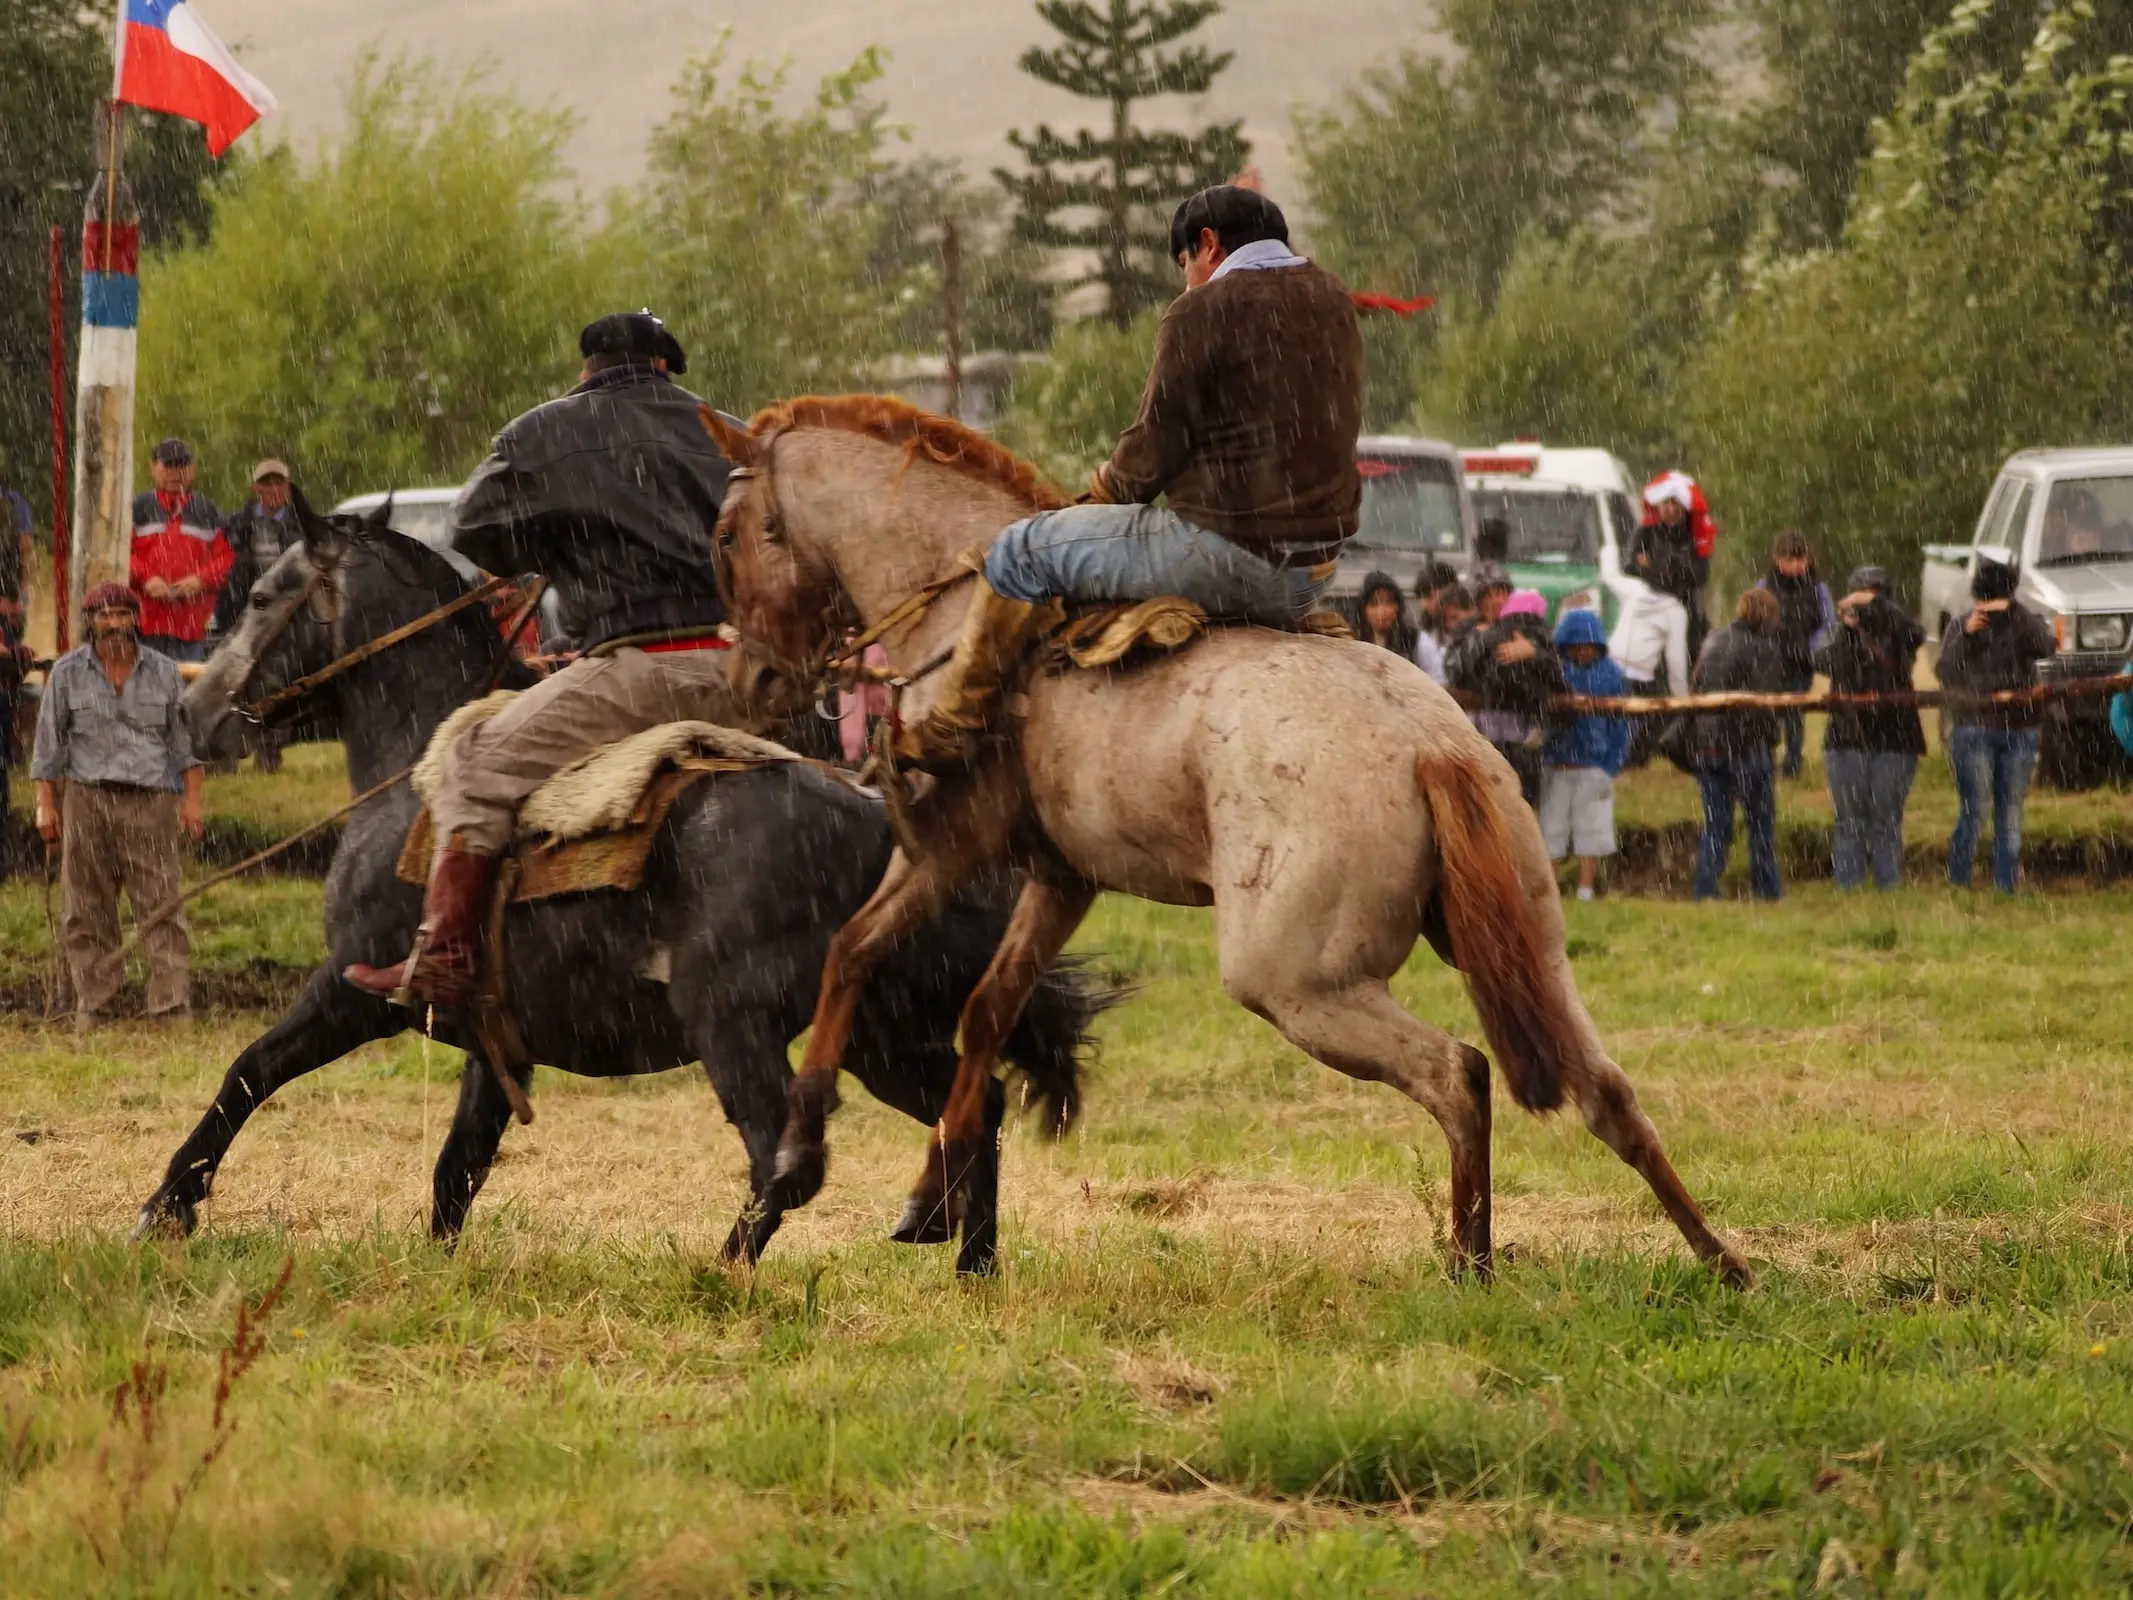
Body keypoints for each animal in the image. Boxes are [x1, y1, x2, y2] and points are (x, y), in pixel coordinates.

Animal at [135, 503, 1109, 1280]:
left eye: (264, 595)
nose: (195, 712)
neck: (411, 768)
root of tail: (879, 823)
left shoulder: (350, 993)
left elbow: (250, 1071)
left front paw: (166, 1207)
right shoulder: (495, 1046)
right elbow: (458, 1164)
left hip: (734, 1024)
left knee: (784, 1158)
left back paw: (723, 1273)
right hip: (878, 1030)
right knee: (973, 1108)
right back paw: (972, 1265)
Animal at [716, 401, 1749, 1288]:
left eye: (729, 536)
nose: (754, 683)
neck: (955, 596)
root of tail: (1430, 744)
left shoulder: (946, 845)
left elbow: (849, 953)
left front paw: (800, 1152)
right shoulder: (1062, 877)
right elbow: (986, 1009)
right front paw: (932, 1196)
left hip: (1295, 983)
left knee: (1457, 1075)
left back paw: (1471, 1267)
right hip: (1527, 942)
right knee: (1604, 1089)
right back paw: (1719, 1261)